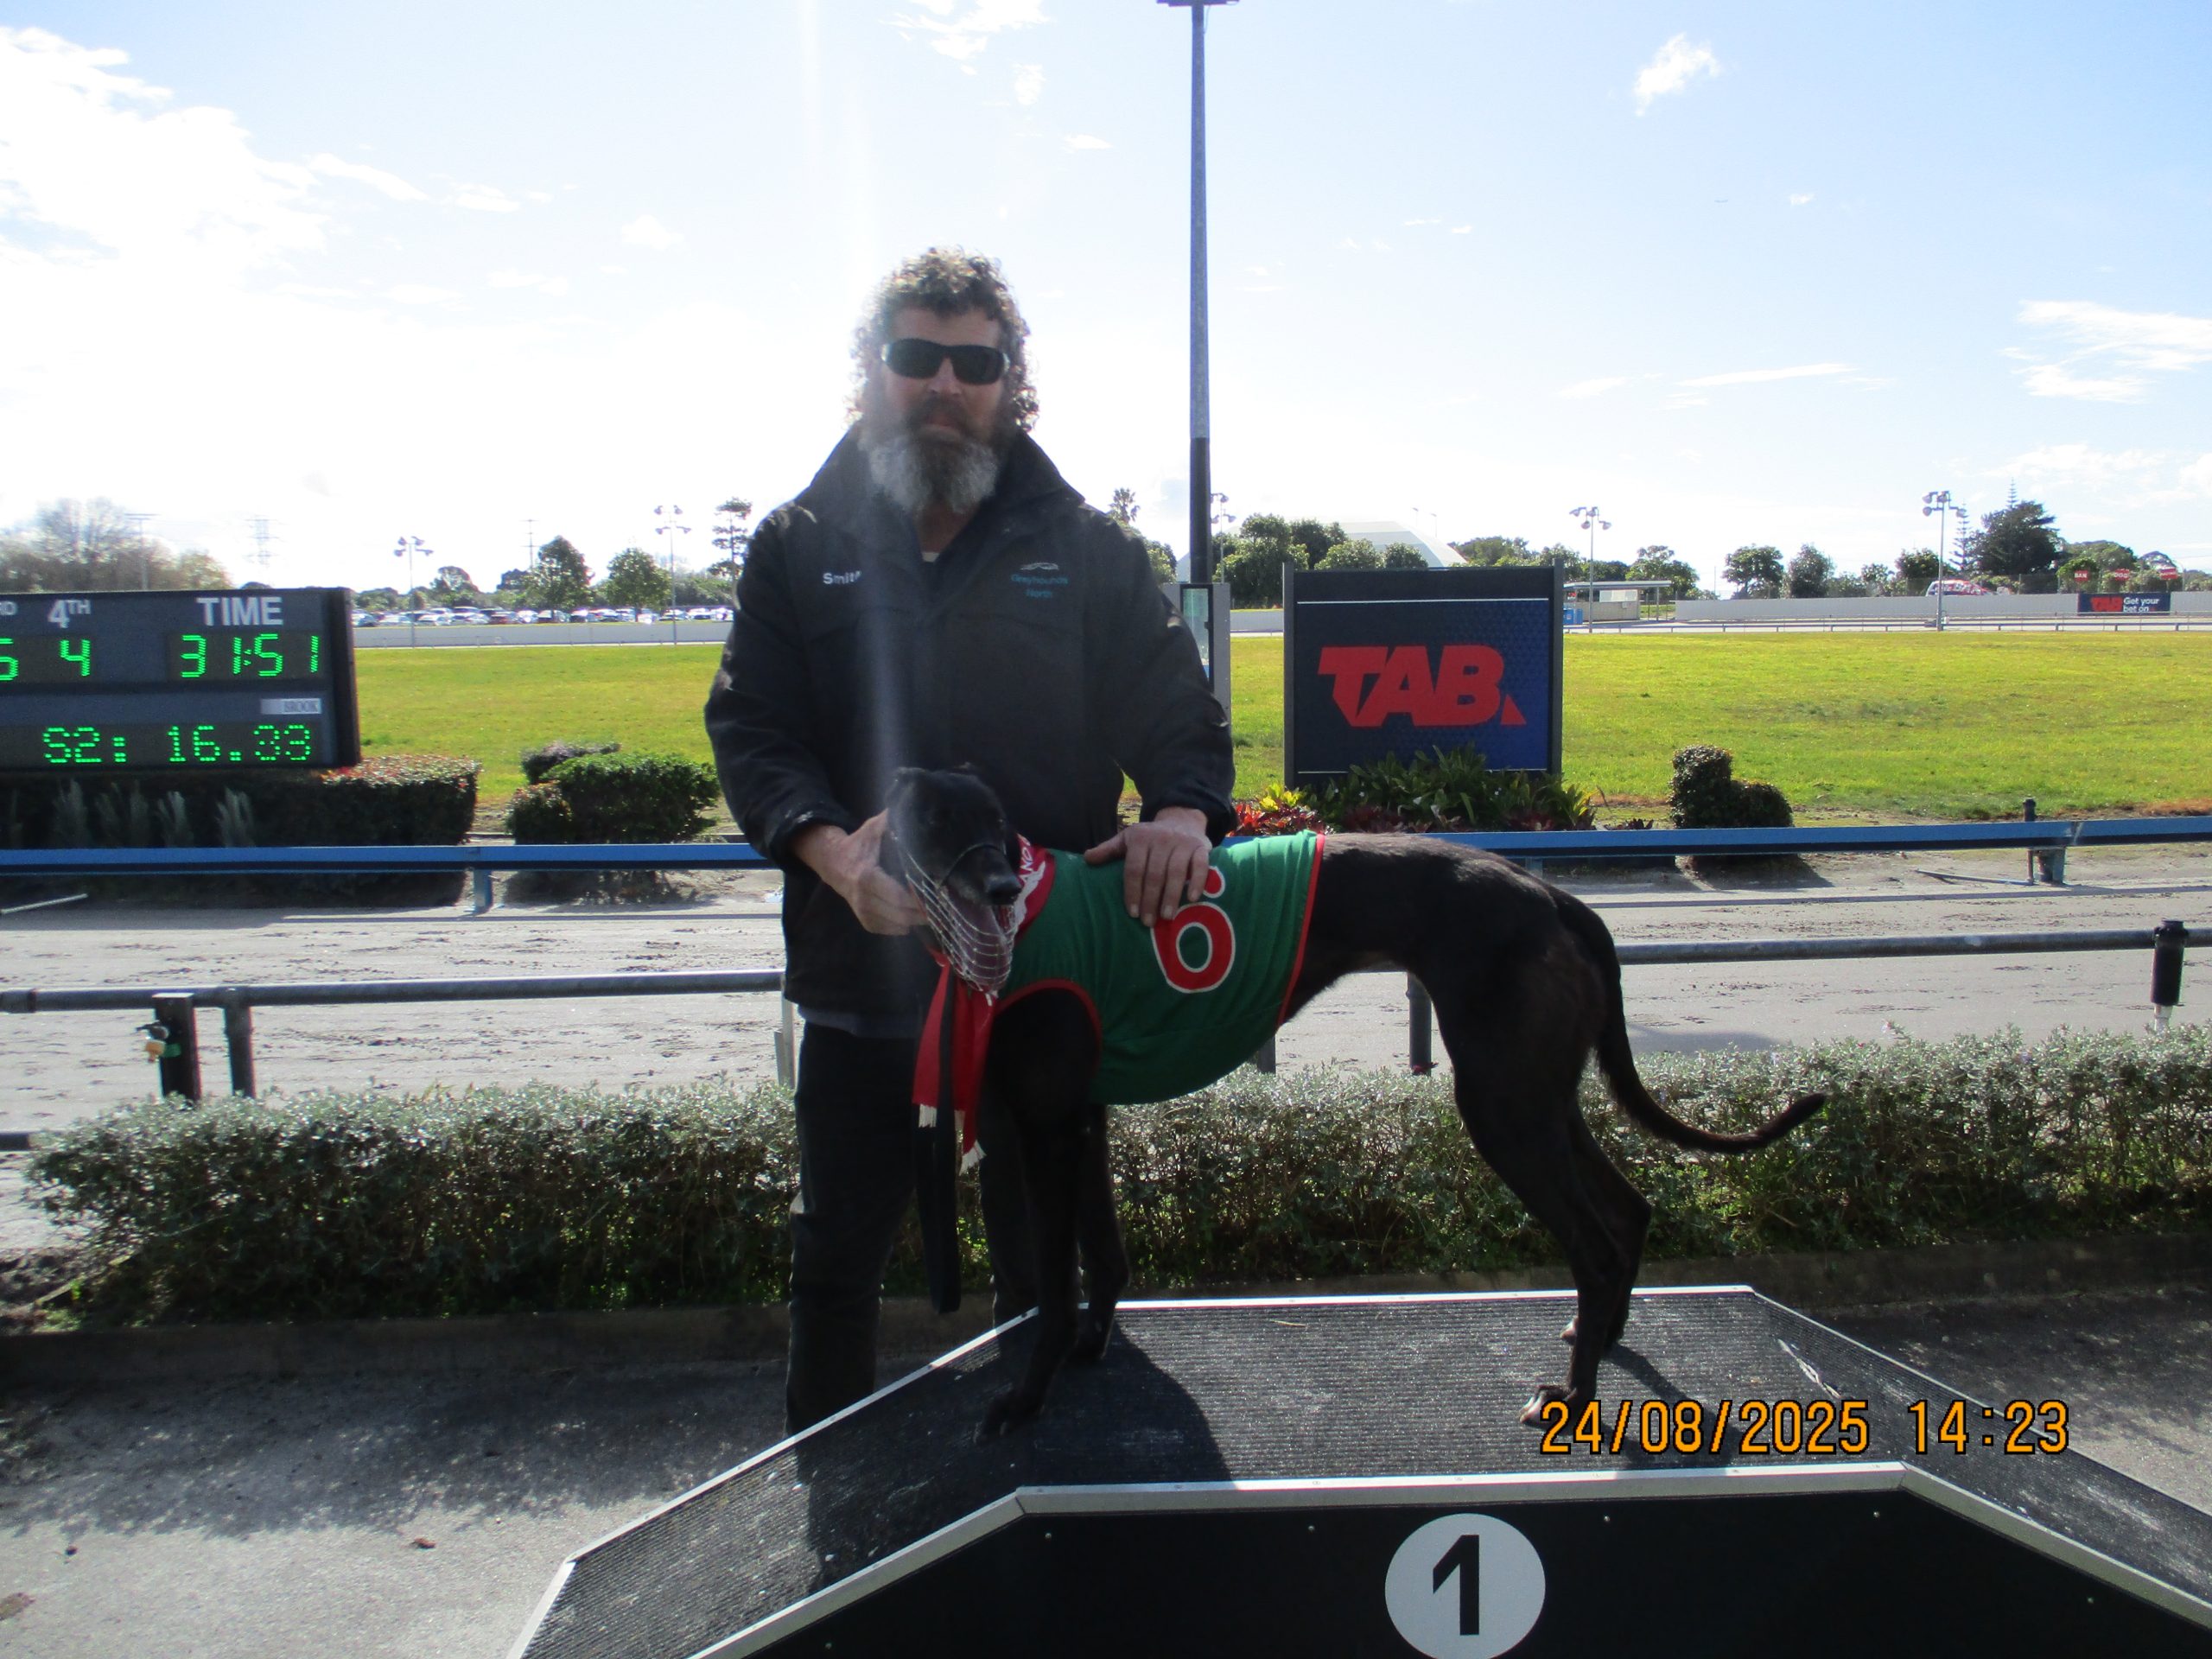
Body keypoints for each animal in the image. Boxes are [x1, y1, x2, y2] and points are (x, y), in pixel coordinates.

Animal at [883, 765, 1826, 1438]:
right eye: (933, 824)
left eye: (994, 825)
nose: (1001, 891)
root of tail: (1555, 897)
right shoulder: (1083, 1120)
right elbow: (1102, 1258)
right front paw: (1090, 1350)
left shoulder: (1045, 1131)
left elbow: (1053, 1285)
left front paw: (1026, 1398)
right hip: (1538, 1096)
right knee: (1628, 1209)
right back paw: (1603, 1339)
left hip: (1503, 1109)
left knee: (1592, 1244)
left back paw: (1571, 1397)